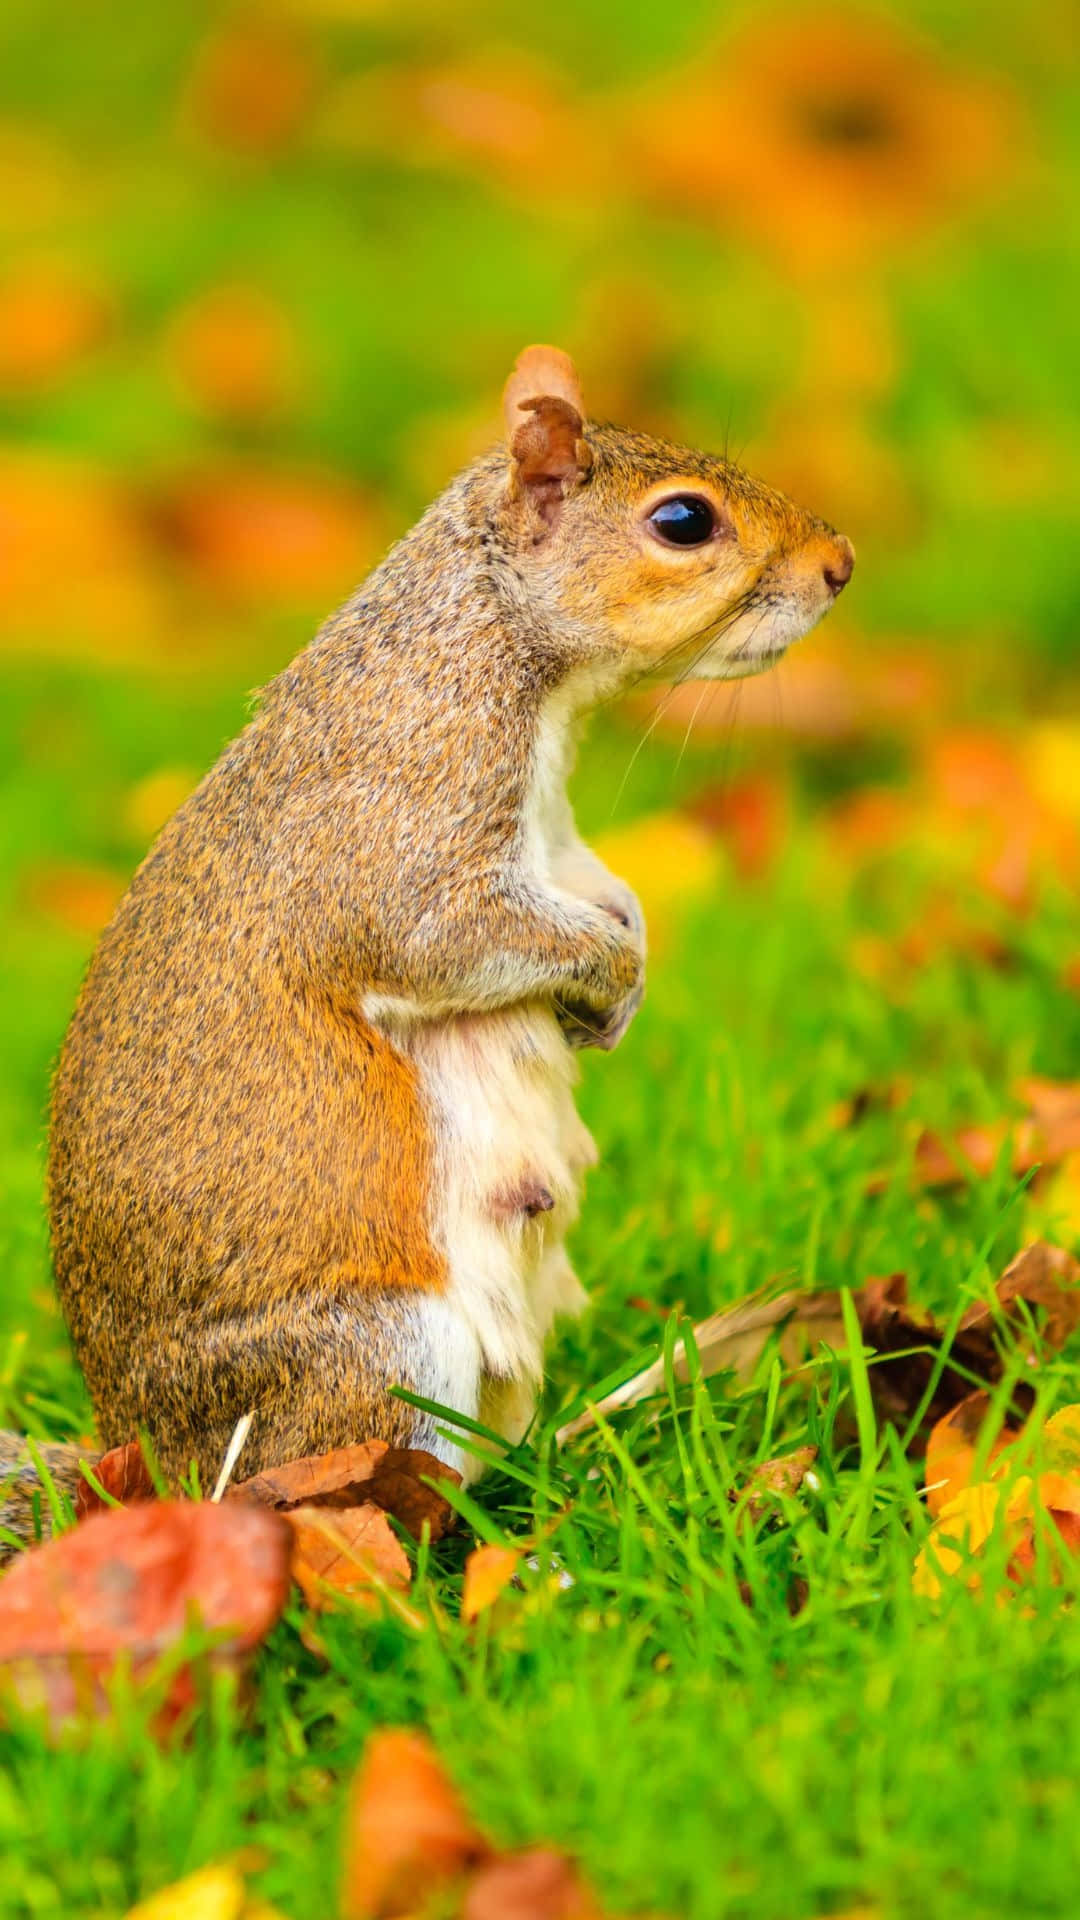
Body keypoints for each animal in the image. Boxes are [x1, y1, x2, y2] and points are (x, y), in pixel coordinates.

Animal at [1, 345, 852, 1547]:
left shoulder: (556, 841)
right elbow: (444, 936)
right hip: (371, 1355)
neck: (494, 645)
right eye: (684, 521)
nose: (840, 563)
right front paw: (609, 976)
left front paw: (623, 978)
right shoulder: (406, 818)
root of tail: (148, 1470)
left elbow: (599, 889)